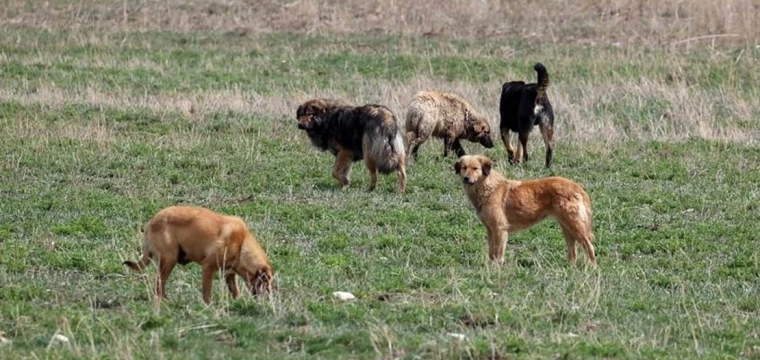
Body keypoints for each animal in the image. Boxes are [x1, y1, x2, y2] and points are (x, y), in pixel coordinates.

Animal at [121, 205, 270, 304]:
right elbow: (207, 292)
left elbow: (235, 291)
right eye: (265, 281)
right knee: (159, 285)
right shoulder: (208, 268)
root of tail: (151, 222)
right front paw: (208, 306)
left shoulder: (229, 273)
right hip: (169, 260)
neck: (242, 243)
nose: (269, 299)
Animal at [454, 155, 596, 268]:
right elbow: (491, 251)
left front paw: (496, 269)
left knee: (590, 246)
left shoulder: (500, 229)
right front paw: (490, 267)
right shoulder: (490, 229)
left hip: (575, 226)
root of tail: (577, 187)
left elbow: (498, 253)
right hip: (567, 228)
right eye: (464, 168)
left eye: (475, 168)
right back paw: (571, 269)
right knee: (573, 251)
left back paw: (592, 268)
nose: (466, 178)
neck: (487, 187)